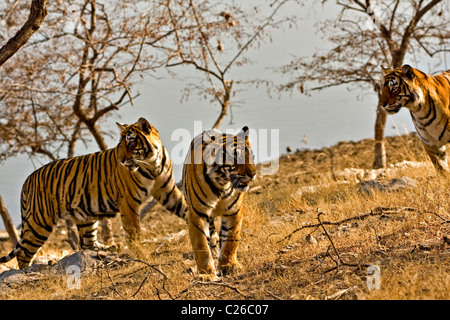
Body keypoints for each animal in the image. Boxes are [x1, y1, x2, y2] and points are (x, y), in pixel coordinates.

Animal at [0, 117, 186, 268]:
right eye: (120, 144)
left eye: (131, 143)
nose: (121, 160)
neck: (152, 163)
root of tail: (27, 180)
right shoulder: (128, 201)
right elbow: (133, 231)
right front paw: (139, 252)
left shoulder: (167, 191)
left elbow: (184, 208)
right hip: (39, 221)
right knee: (23, 252)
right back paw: (26, 272)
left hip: (85, 217)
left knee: (86, 243)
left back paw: (110, 248)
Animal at [181, 126, 255, 282]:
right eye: (235, 157)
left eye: (251, 156)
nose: (253, 174)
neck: (223, 184)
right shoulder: (197, 214)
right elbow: (201, 244)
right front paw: (207, 273)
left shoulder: (234, 211)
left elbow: (231, 239)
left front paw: (229, 265)